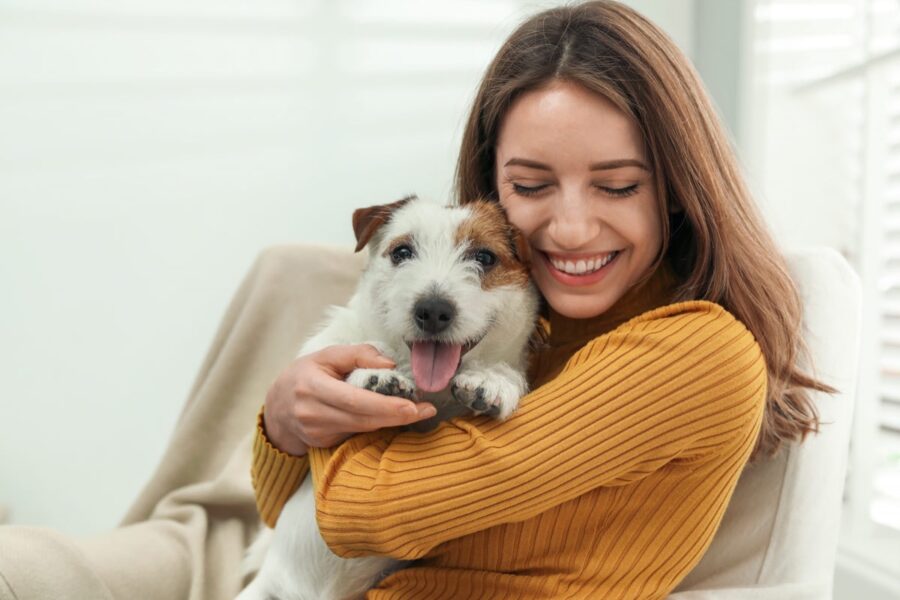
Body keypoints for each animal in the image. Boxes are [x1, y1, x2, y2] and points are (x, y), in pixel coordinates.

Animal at [236, 196, 536, 600]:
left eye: (485, 257)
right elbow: (363, 348)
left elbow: (504, 372)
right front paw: (377, 374)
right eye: (402, 252)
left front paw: (492, 380)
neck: (431, 390)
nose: (432, 310)